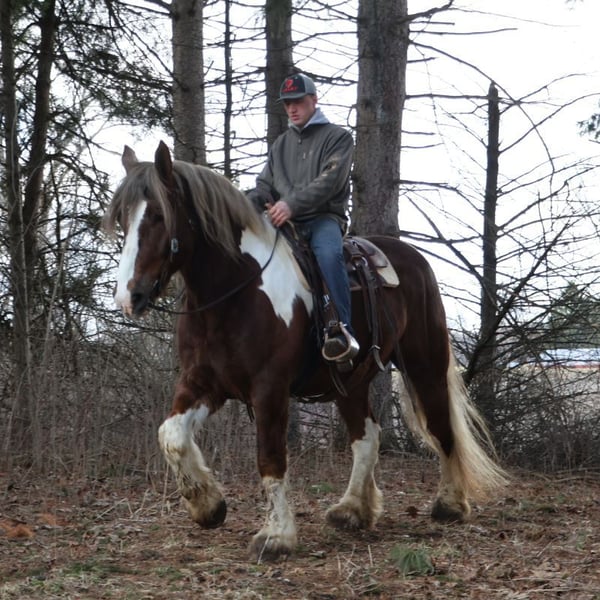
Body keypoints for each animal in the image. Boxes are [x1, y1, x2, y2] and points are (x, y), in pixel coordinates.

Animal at [104, 141, 507, 561]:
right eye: (122, 219)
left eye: (157, 216)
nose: (128, 297)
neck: (234, 292)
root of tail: (411, 257)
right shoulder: (203, 383)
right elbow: (171, 435)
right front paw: (207, 505)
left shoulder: (269, 389)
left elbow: (270, 458)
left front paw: (276, 535)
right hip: (351, 381)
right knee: (367, 437)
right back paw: (352, 509)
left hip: (424, 364)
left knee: (441, 427)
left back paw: (449, 504)